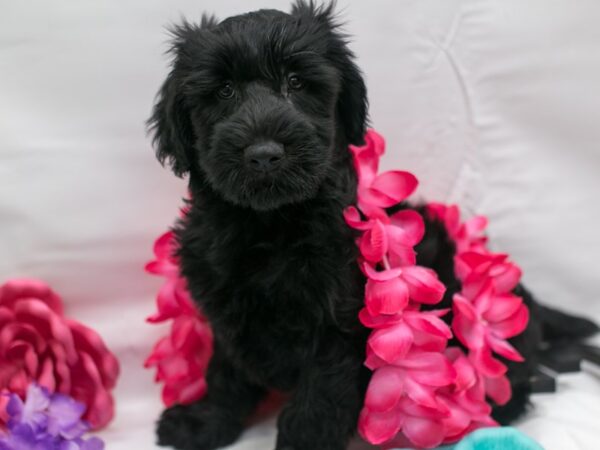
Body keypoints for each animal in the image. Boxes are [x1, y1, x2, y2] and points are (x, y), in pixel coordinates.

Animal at [149, 1, 596, 448]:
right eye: (224, 90)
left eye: (296, 82)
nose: (264, 154)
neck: (268, 222)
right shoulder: (226, 308)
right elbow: (225, 373)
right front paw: (204, 422)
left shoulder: (339, 320)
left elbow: (319, 396)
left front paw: (302, 442)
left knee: (514, 380)